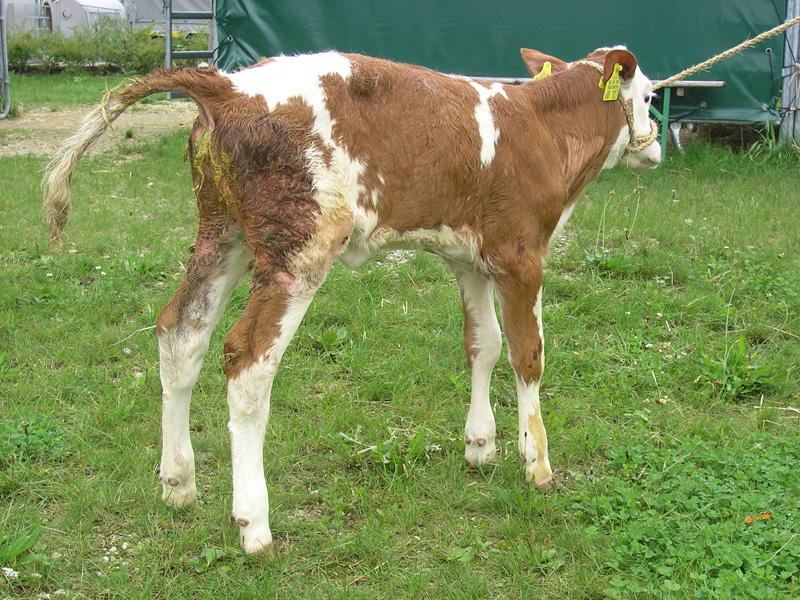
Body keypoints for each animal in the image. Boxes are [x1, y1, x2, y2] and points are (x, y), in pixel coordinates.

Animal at [40, 44, 660, 556]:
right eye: (652, 94)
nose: (654, 136)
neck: (541, 127)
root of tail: (229, 86)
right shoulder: (521, 253)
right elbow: (527, 354)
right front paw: (538, 465)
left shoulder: (468, 258)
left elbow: (481, 345)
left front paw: (481, 445)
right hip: (300, 247)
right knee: (248, 361)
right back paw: (254, 524)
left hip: (222, 231)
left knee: (180, 332)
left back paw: (179, 482)